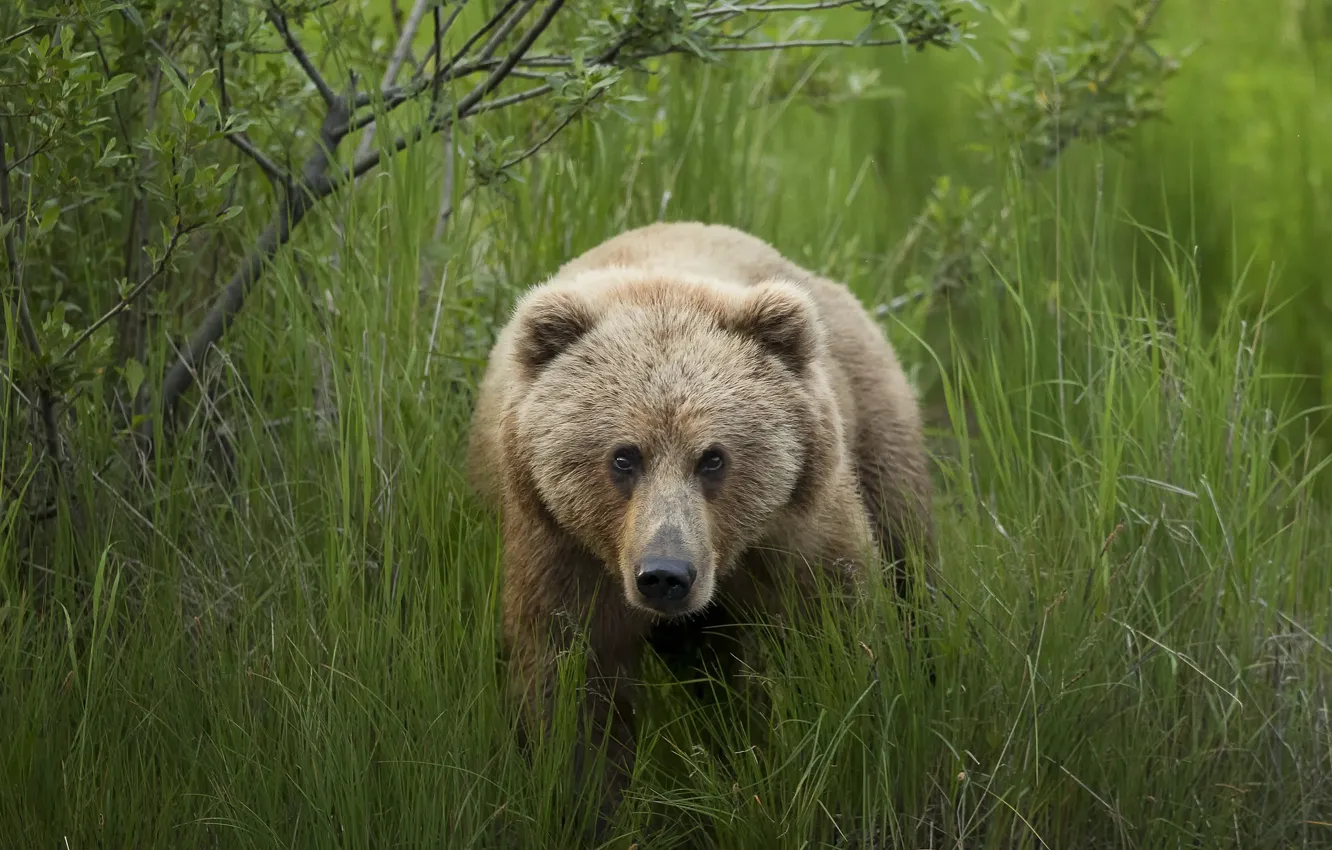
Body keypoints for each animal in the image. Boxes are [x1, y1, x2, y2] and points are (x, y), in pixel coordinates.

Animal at [465, 221, 935, 824]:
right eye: (624, 456)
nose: (666, 574)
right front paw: (590, 805)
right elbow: (571, 688)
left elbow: (828, 641)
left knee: (911, 559)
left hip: (877, 428)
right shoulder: (561, 550)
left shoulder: (795, 534)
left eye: (712, 457)